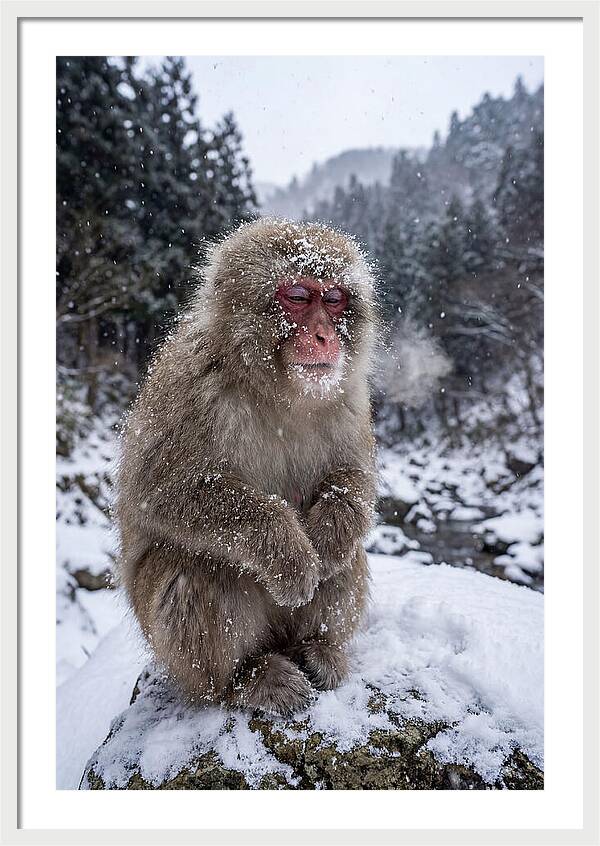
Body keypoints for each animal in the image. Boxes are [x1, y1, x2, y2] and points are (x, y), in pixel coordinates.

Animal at [115, 218, 379, 716]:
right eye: (298, 296)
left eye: (334, 299)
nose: (324, 335)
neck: (277, 391)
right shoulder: (188, 385)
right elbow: (160, 492)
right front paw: (289, 553)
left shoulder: (350, 398)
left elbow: (354, 478)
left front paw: (329, 534)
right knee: (193, 568)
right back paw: (244, 679)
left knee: (348, 557)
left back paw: (318, 648)